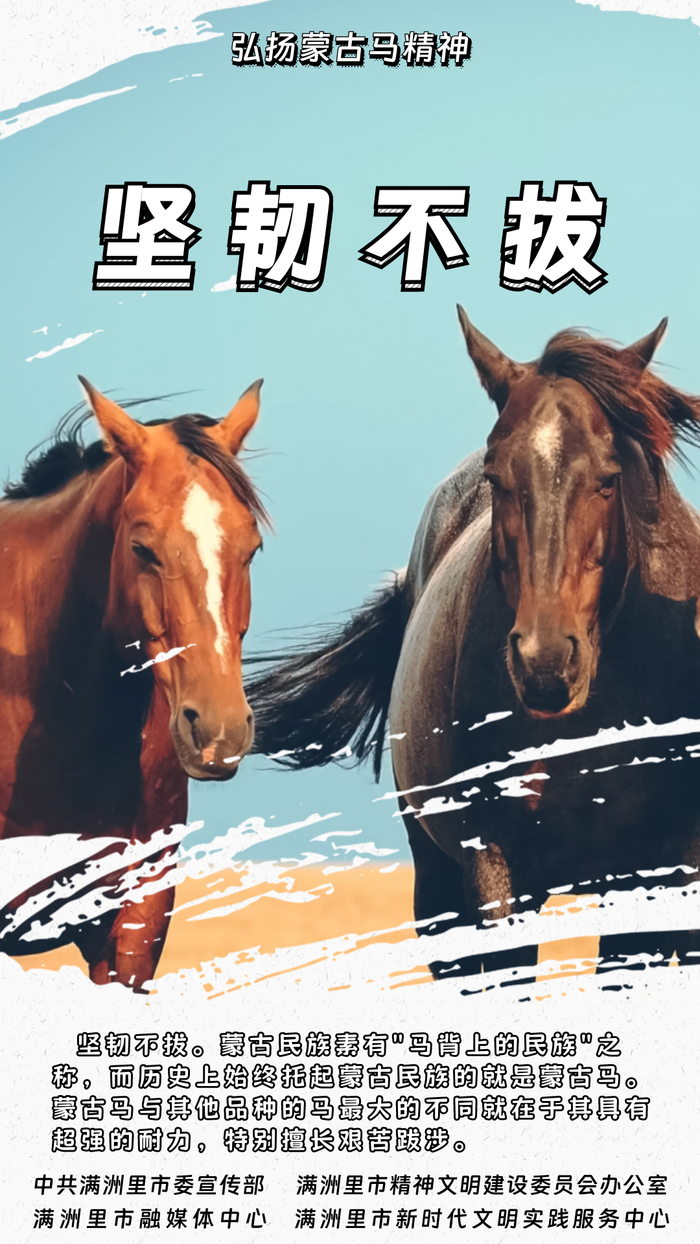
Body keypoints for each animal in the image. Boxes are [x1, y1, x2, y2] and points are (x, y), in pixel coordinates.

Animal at [247, 309, 700, 981]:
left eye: (609, 479)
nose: (545, 664)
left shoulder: (660, 876)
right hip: (439, 880)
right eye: (497, 476)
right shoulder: (494, 866)